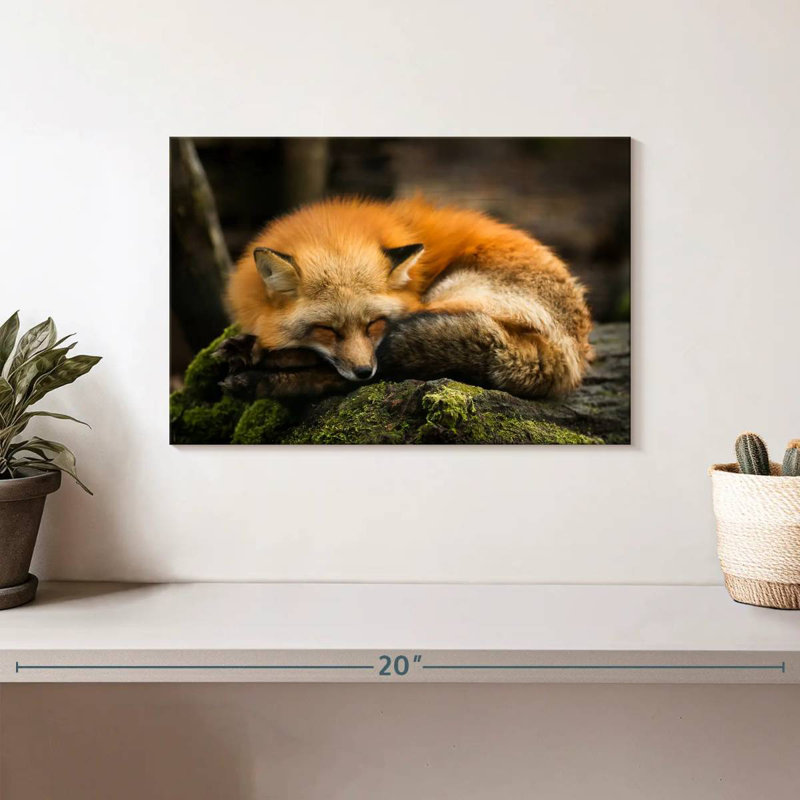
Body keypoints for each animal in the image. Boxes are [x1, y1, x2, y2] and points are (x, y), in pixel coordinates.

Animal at [225, 196, 593, 398]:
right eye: (327, 330)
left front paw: (259, 353)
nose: (363, 371)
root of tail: (572, 355)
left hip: (449, 296)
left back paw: (261, 377)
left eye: (374, 324)